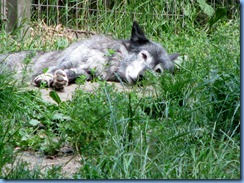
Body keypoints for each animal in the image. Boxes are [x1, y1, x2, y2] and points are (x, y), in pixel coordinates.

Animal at [0, 21, 179, 89]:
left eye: (158, 71)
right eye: (144, 56)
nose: (142, 76)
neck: (109, 60)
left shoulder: (87, 73)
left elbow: (72, 74)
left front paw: (61, 79)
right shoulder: (68, 60)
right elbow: (54, 68)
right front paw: (46, 78)